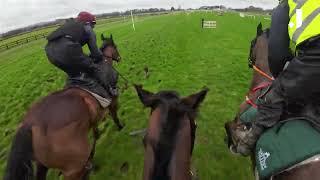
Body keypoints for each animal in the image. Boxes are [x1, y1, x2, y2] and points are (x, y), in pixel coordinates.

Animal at [5, 34, 125, 180]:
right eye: (115, 47)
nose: (119, 57)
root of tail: (29, 124)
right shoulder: (113, 101)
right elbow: (115, 116)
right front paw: (121, 127)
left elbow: (95, 128)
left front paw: (96, 138)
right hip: (73, 168)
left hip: (42, 164)